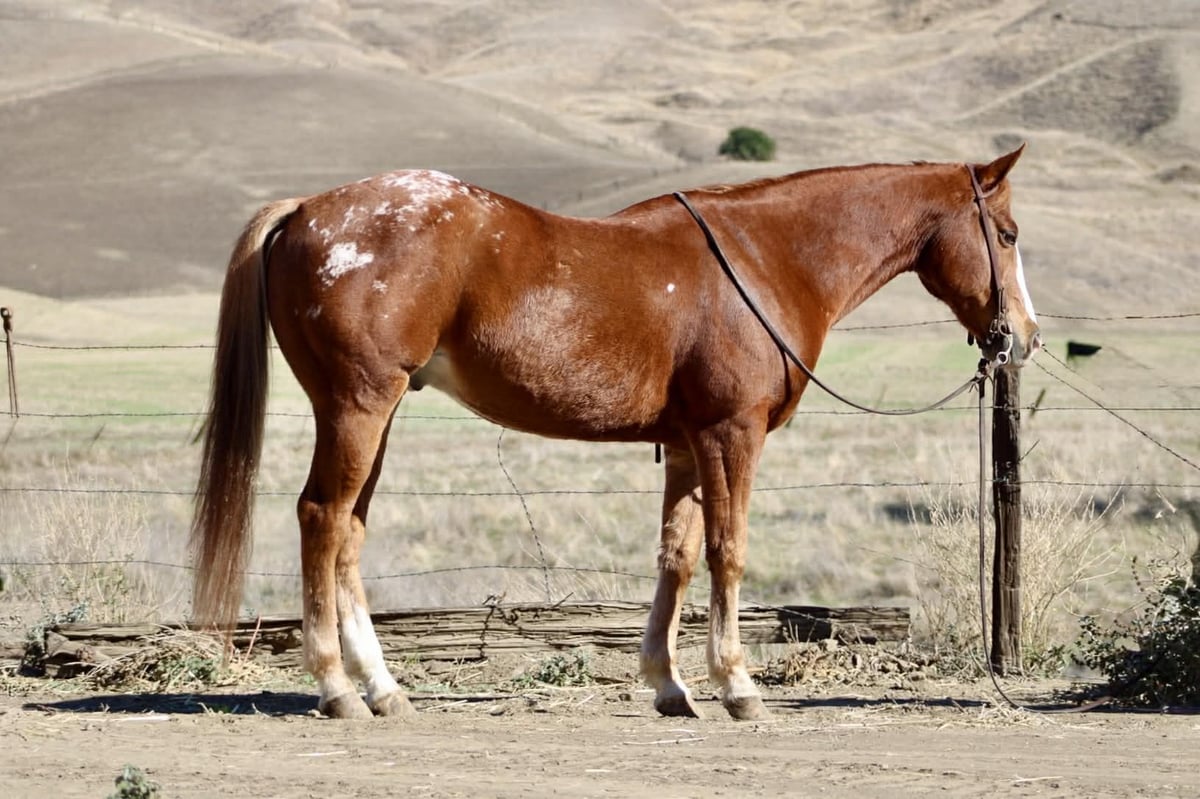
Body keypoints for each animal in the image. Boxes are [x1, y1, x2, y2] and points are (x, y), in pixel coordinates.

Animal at [191, 146, 1041, 720]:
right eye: (1005, 233)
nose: (1022, 337)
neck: (766, 258)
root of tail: (308, 208)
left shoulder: (690, 445)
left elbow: (678, 556)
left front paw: (670, 683)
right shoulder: (732, 435)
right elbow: (729, 552)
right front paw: (737, 683)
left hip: (378, 413)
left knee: (350, 533)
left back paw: (384, 687)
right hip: (357, 407)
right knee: (321, 518)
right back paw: (336, 686)